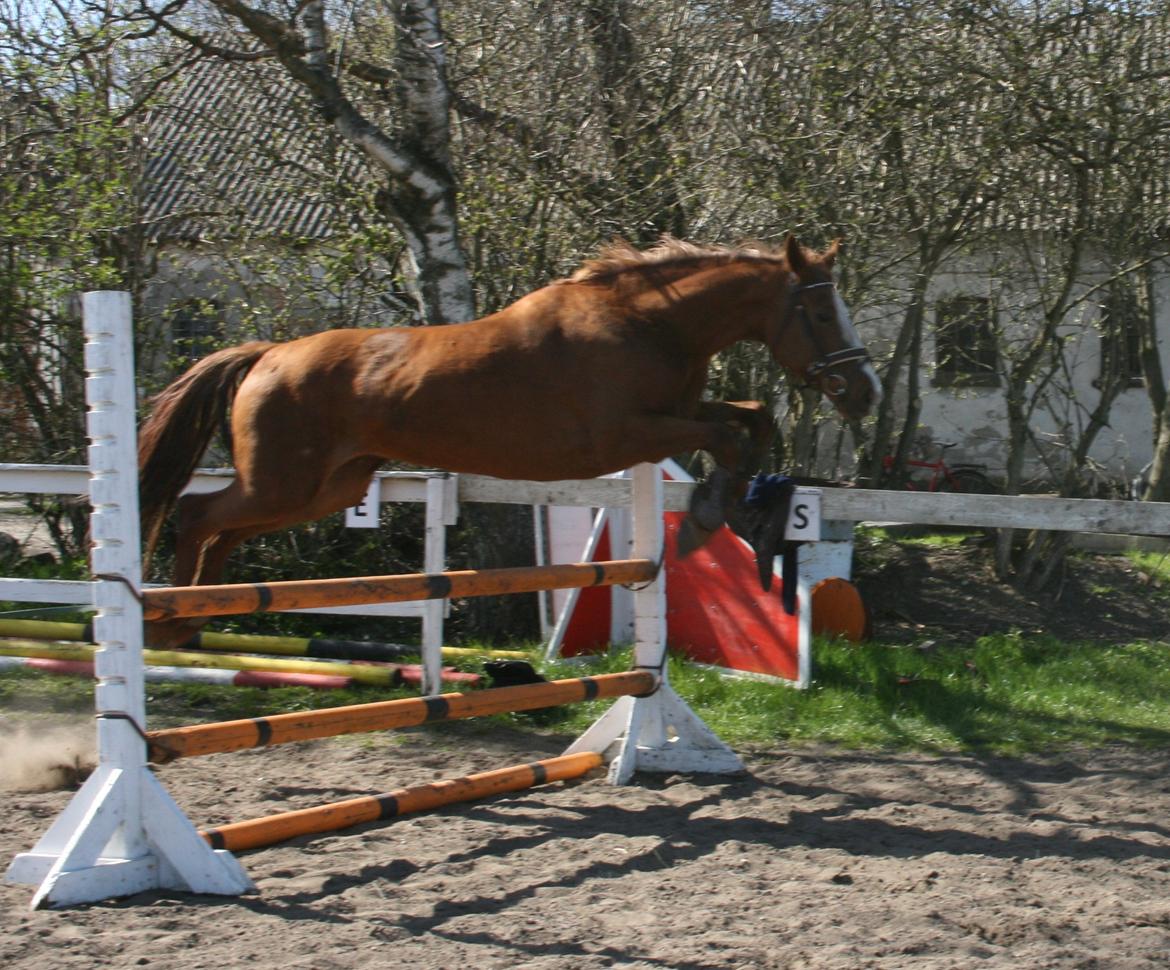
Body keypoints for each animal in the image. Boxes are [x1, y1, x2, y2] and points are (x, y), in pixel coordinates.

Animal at [136, 231, 879, 645]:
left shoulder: (676, 410)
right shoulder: (626, 434)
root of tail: (268, 355)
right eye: (820, 313)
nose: (865, 392)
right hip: (283, 483)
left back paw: (196, 615)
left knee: (224, 529)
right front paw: (703, 521)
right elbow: (727, 435)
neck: (649, 323)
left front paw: (738, 510)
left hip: (325, 488)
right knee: (197, 513)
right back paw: (168, 619)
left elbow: (751, 417)